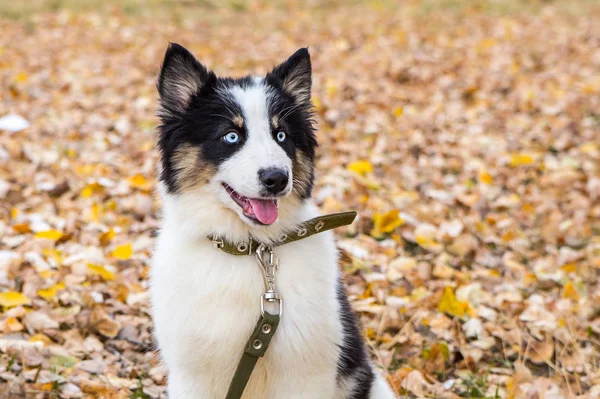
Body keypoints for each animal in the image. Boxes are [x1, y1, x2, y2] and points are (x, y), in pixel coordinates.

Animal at [149, 43, 398, 399]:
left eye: (281, 135)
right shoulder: (192, 375)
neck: (250, 247)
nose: (277, 178)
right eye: (231, 137)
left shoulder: (304, 374)